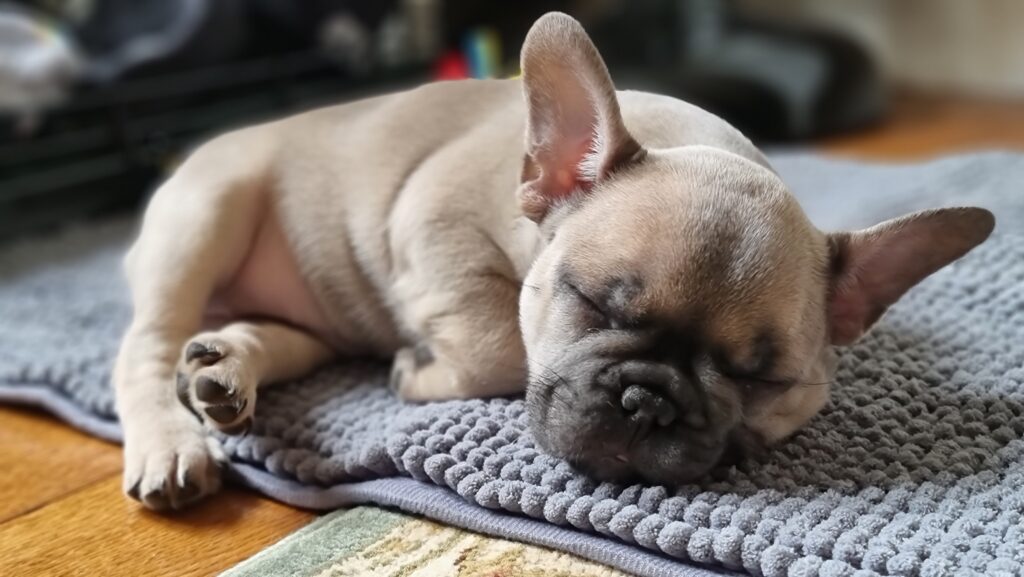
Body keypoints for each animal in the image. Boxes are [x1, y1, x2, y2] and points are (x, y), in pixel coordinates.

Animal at [112, 12, 991, 510]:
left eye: (760, 379)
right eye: (592, 303)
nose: (649, 400)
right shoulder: (435, 227)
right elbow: (498, 343)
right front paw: (419, 372)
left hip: (307, 314)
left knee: (265, 336)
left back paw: (226, 369)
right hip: (208, 212)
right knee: (143, 347)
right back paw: (172, 440)